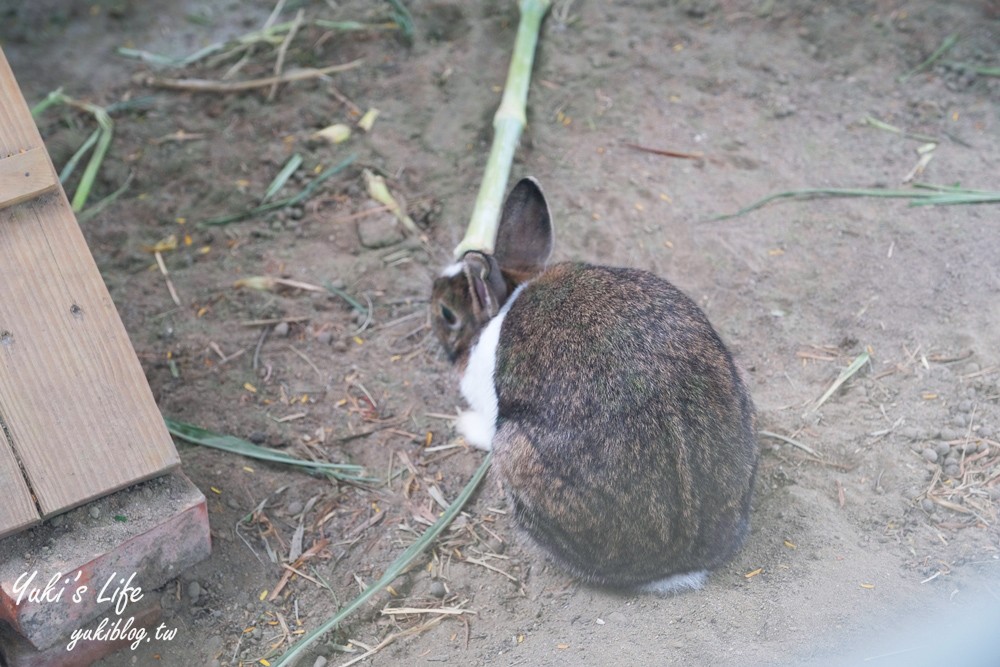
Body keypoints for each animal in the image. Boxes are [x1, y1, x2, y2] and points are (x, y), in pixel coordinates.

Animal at [430, 177, 756, 596]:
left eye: (447, 313)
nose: (431, 296)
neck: (506, 301)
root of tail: (680, 561)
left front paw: (463, 424)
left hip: (516, 453)